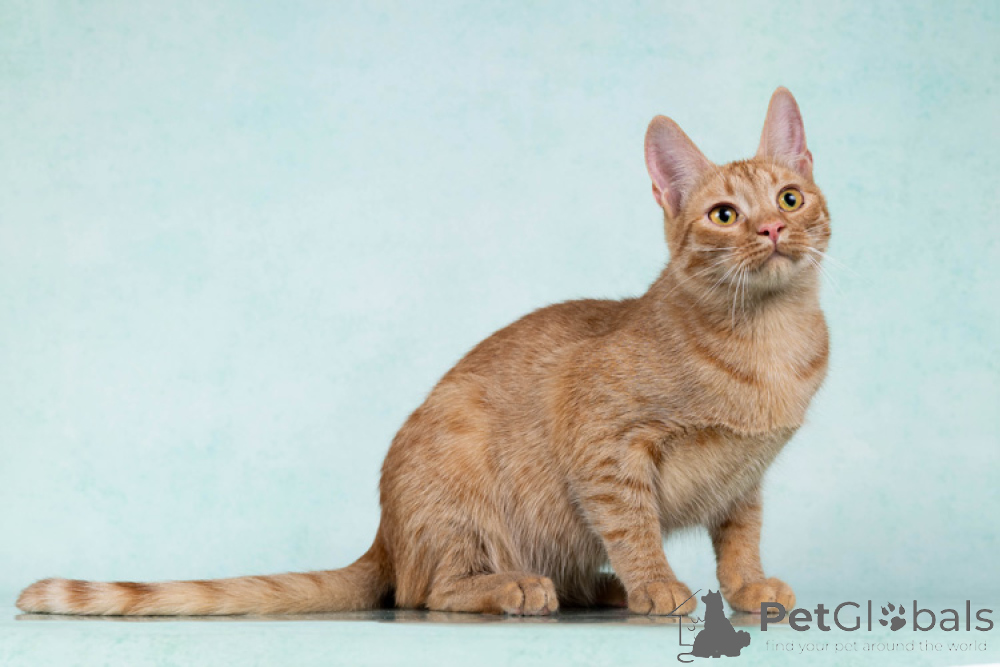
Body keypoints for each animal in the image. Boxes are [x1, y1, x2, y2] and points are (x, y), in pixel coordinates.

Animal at [17, 87, 828, 617]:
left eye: (789, 199)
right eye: (723, 215)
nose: (770, 231)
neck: (768, 341)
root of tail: (383, 535)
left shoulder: (744, 478)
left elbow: (739, 538)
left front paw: (747, 588)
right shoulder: (605, 444)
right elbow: (631, 525)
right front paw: (656, 583)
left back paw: (589, 586)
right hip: (460, 489)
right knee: (424, 590)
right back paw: (516, 586)